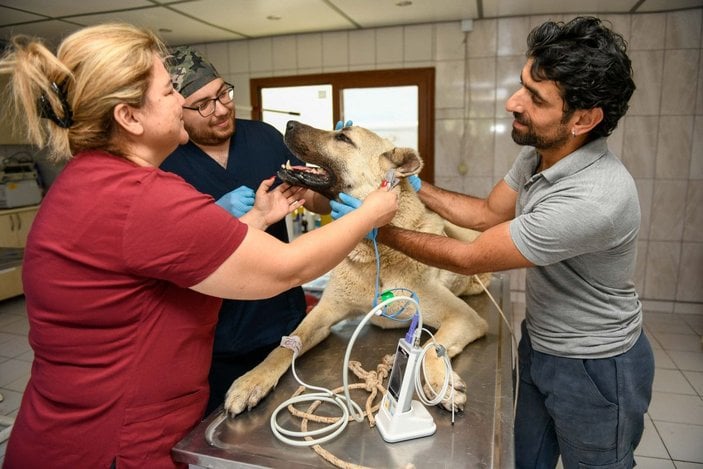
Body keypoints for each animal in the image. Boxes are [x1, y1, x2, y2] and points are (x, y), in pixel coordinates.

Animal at [224, 122, 490, 414]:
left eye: (343, 137)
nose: (289, 124)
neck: (375, 256)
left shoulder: (464, 317)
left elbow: (432, 345)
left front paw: (441, 384)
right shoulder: (323, 313)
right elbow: (285, 345)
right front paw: (253, 379)